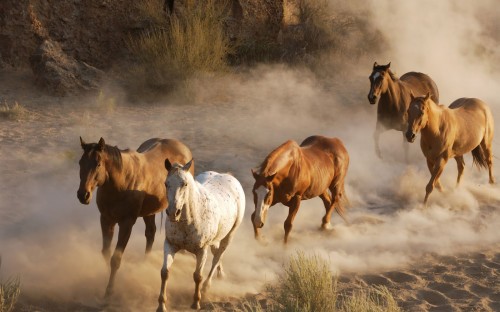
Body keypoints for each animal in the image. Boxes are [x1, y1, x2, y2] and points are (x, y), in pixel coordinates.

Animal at [76, 136, 193, 298]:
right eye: (80, 163)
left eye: (98, 164)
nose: (83, 195)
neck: (120, 183)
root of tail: (183, 147)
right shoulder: (106, 220)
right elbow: (106, 252)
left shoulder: (127, 223)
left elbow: (116, 258)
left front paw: (110, 290)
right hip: (149, 212)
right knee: (150, 233)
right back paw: (145, 262)